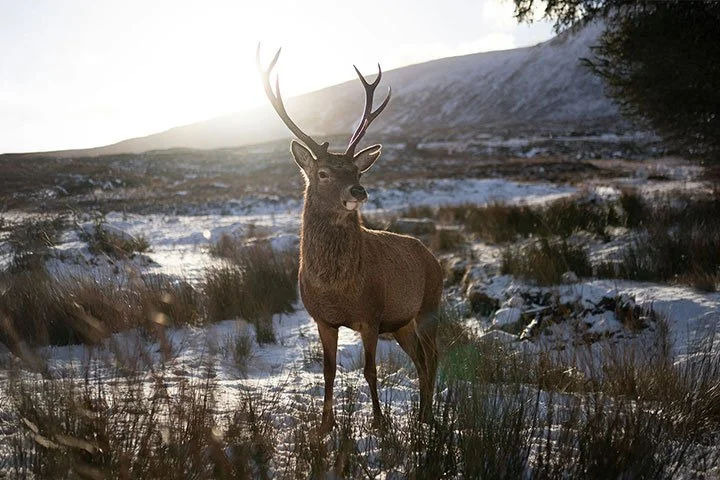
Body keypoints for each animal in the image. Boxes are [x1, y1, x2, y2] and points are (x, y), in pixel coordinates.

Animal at [257, 47, 443, 433]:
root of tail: (433, 257)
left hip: (430, 305)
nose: (359, 190)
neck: (336, 286)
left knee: (433, 356)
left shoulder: (370, 315)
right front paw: (325, 425)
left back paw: (429, 417)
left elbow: (370, 371)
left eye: (358, 171)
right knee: (420, 360)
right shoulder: (322, 319)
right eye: (323, 173)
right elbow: (328, 372)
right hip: (402, 322)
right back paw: (421, 415)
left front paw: (380, 423)